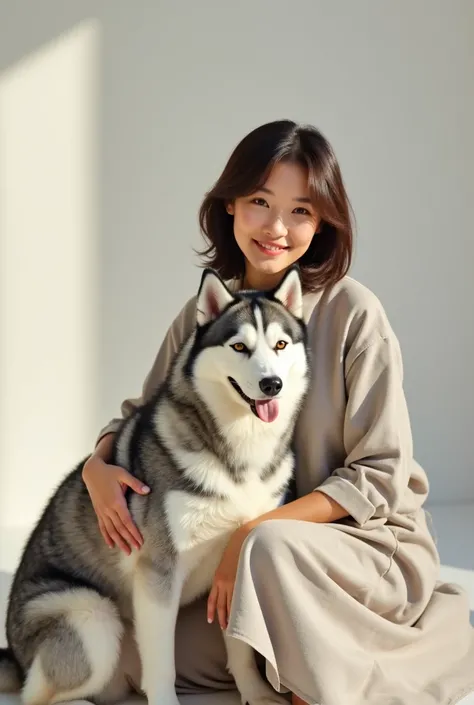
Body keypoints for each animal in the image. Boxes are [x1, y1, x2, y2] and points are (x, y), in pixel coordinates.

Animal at [0, 266, 310, 704]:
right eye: (239, 347)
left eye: (280, 344)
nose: (272, 384)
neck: (238, 452)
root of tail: (12, 651)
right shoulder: (158, 570)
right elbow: (163, 662)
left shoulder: (235, 564)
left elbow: (240, 645)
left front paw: (256, 692)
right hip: (91, 616)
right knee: (37, 694)